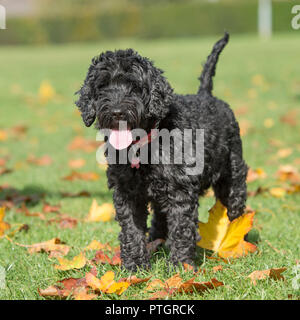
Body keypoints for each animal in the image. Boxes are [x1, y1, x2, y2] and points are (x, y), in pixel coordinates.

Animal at [77, 33, 248, 270]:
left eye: (134, 86)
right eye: (103, 86)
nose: (117, 111)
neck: (142, 148)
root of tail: (206, 94)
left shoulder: (180, 193)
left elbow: (181, 230)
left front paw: (180, 267)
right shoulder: (127, 193)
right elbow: (131, 231)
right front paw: (134, 266)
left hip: (232, 175)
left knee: (235, 206)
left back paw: (238, 239)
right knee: (159, 219)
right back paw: (156, 243)